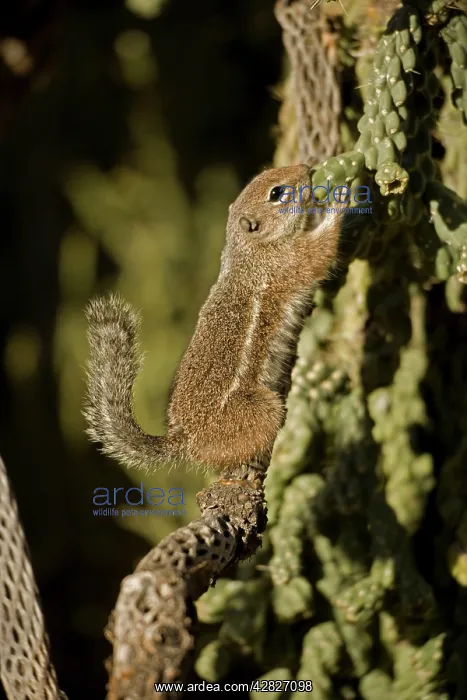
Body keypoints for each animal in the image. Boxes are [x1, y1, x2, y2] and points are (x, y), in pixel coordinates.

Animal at [84, 164, 346, 474]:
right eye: (277, 193)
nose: (308, 168)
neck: (251, 249)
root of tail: (185, 439)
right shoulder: (288, 263)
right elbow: (320, 254)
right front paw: (340, 202)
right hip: (261, 410)